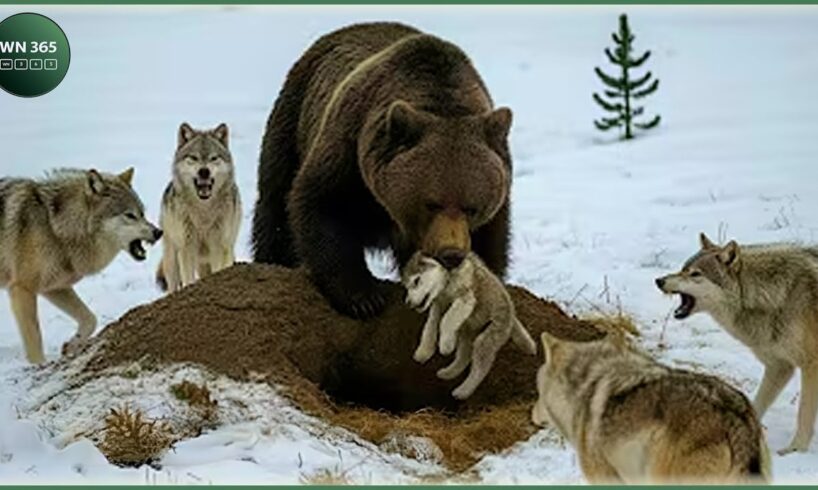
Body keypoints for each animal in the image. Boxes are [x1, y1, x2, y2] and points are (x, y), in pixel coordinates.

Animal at [252, 22, 513, 319]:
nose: (451, 253)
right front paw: (363, 297)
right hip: (292, 119)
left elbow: (489, 241)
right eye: (431, 204)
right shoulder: (351, 146)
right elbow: (323, 204)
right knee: (275, 207)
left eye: (472, 207)